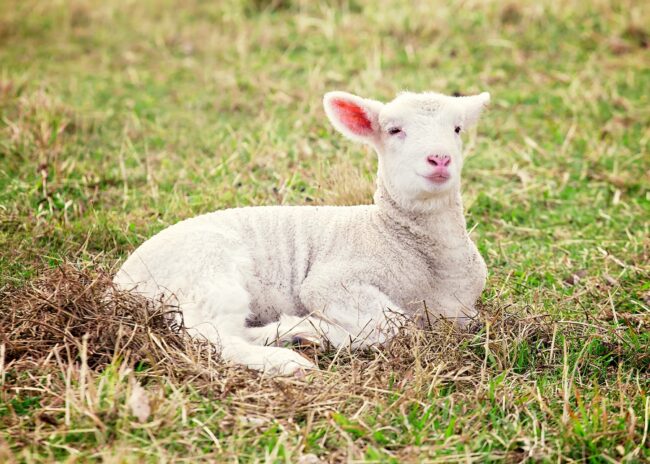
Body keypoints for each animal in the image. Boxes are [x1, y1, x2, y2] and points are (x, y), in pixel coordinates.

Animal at [113, 90, 490, 376]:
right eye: (394, 130)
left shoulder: (463, 311)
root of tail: (119, 283)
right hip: (206, 271)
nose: (439, 159)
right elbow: (395, 326)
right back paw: (286, 359)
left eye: (457, 129)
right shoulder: (332, 282)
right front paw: (308, 331)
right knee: (209, 336)